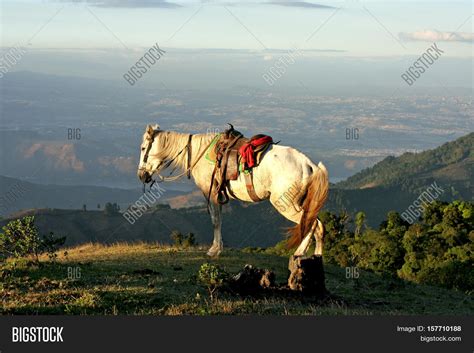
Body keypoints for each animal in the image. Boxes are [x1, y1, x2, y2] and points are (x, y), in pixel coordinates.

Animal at [137, 125, 328, 258]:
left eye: (143, 148)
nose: (141, 175)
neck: (199, 152)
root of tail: (308, 164)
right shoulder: (218, 195)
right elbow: (220, 220)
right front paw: (218, 248)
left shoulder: (210, 193)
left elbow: (215, 221)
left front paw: (213, 250)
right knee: (317, 225)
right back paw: (317, 255)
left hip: (286, 204)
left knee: (312, 224)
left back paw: (300, 253)